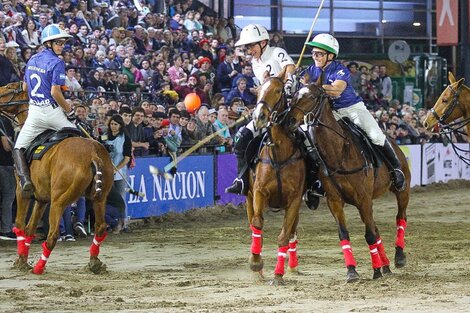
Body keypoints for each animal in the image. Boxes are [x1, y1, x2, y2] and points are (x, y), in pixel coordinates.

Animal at [0, 82, 114, 272]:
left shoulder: (22, 191)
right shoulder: (41, 198)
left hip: (59, 200)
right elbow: (30, 228)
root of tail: (93, 154)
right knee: (100, 227)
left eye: (9, 87)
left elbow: (20, 226)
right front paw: (22, 259)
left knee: (53, 234)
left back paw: (39, 268)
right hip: (100, 197)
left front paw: (21, 262)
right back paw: (94, 263)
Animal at [248, 77, 306, 284]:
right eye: (258, 91)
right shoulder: (259, 192)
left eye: (278, 90)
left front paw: (278, 274)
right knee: (253, 224)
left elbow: (284, 235)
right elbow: (257, 223)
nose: (259, 117)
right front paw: (256, 263)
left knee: (292, 232)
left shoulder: (294, 200)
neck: (279, 153)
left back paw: (293, 266)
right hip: (248, 197)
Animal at [284, 84, 410, 282]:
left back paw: (398, 257)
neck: (339, 152)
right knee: (376, 227)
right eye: (294, 96)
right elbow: (344, 233)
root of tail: (395, 144)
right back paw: (386, 265)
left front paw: (376, 270)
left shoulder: (363, 199)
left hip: (402, 190)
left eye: (312, 97)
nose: (289, 121)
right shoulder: (335, 201)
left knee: (400, 217)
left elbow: (369, 235)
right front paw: (352, 271)